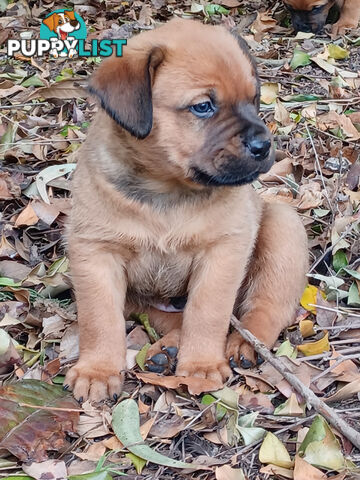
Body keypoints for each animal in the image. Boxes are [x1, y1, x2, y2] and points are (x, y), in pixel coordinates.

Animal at [64, 17, 306, 402]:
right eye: (203, 107)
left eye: (254, 99)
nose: (264, 145)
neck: (167, 192)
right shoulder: (96, 253)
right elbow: (99, 319)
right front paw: (97, 370)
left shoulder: (222, 251)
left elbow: (206, 313)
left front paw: (202, 366)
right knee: (173, 319)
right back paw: (166, 351)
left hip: (283, 228)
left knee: (265, 309)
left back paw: (243, 345)